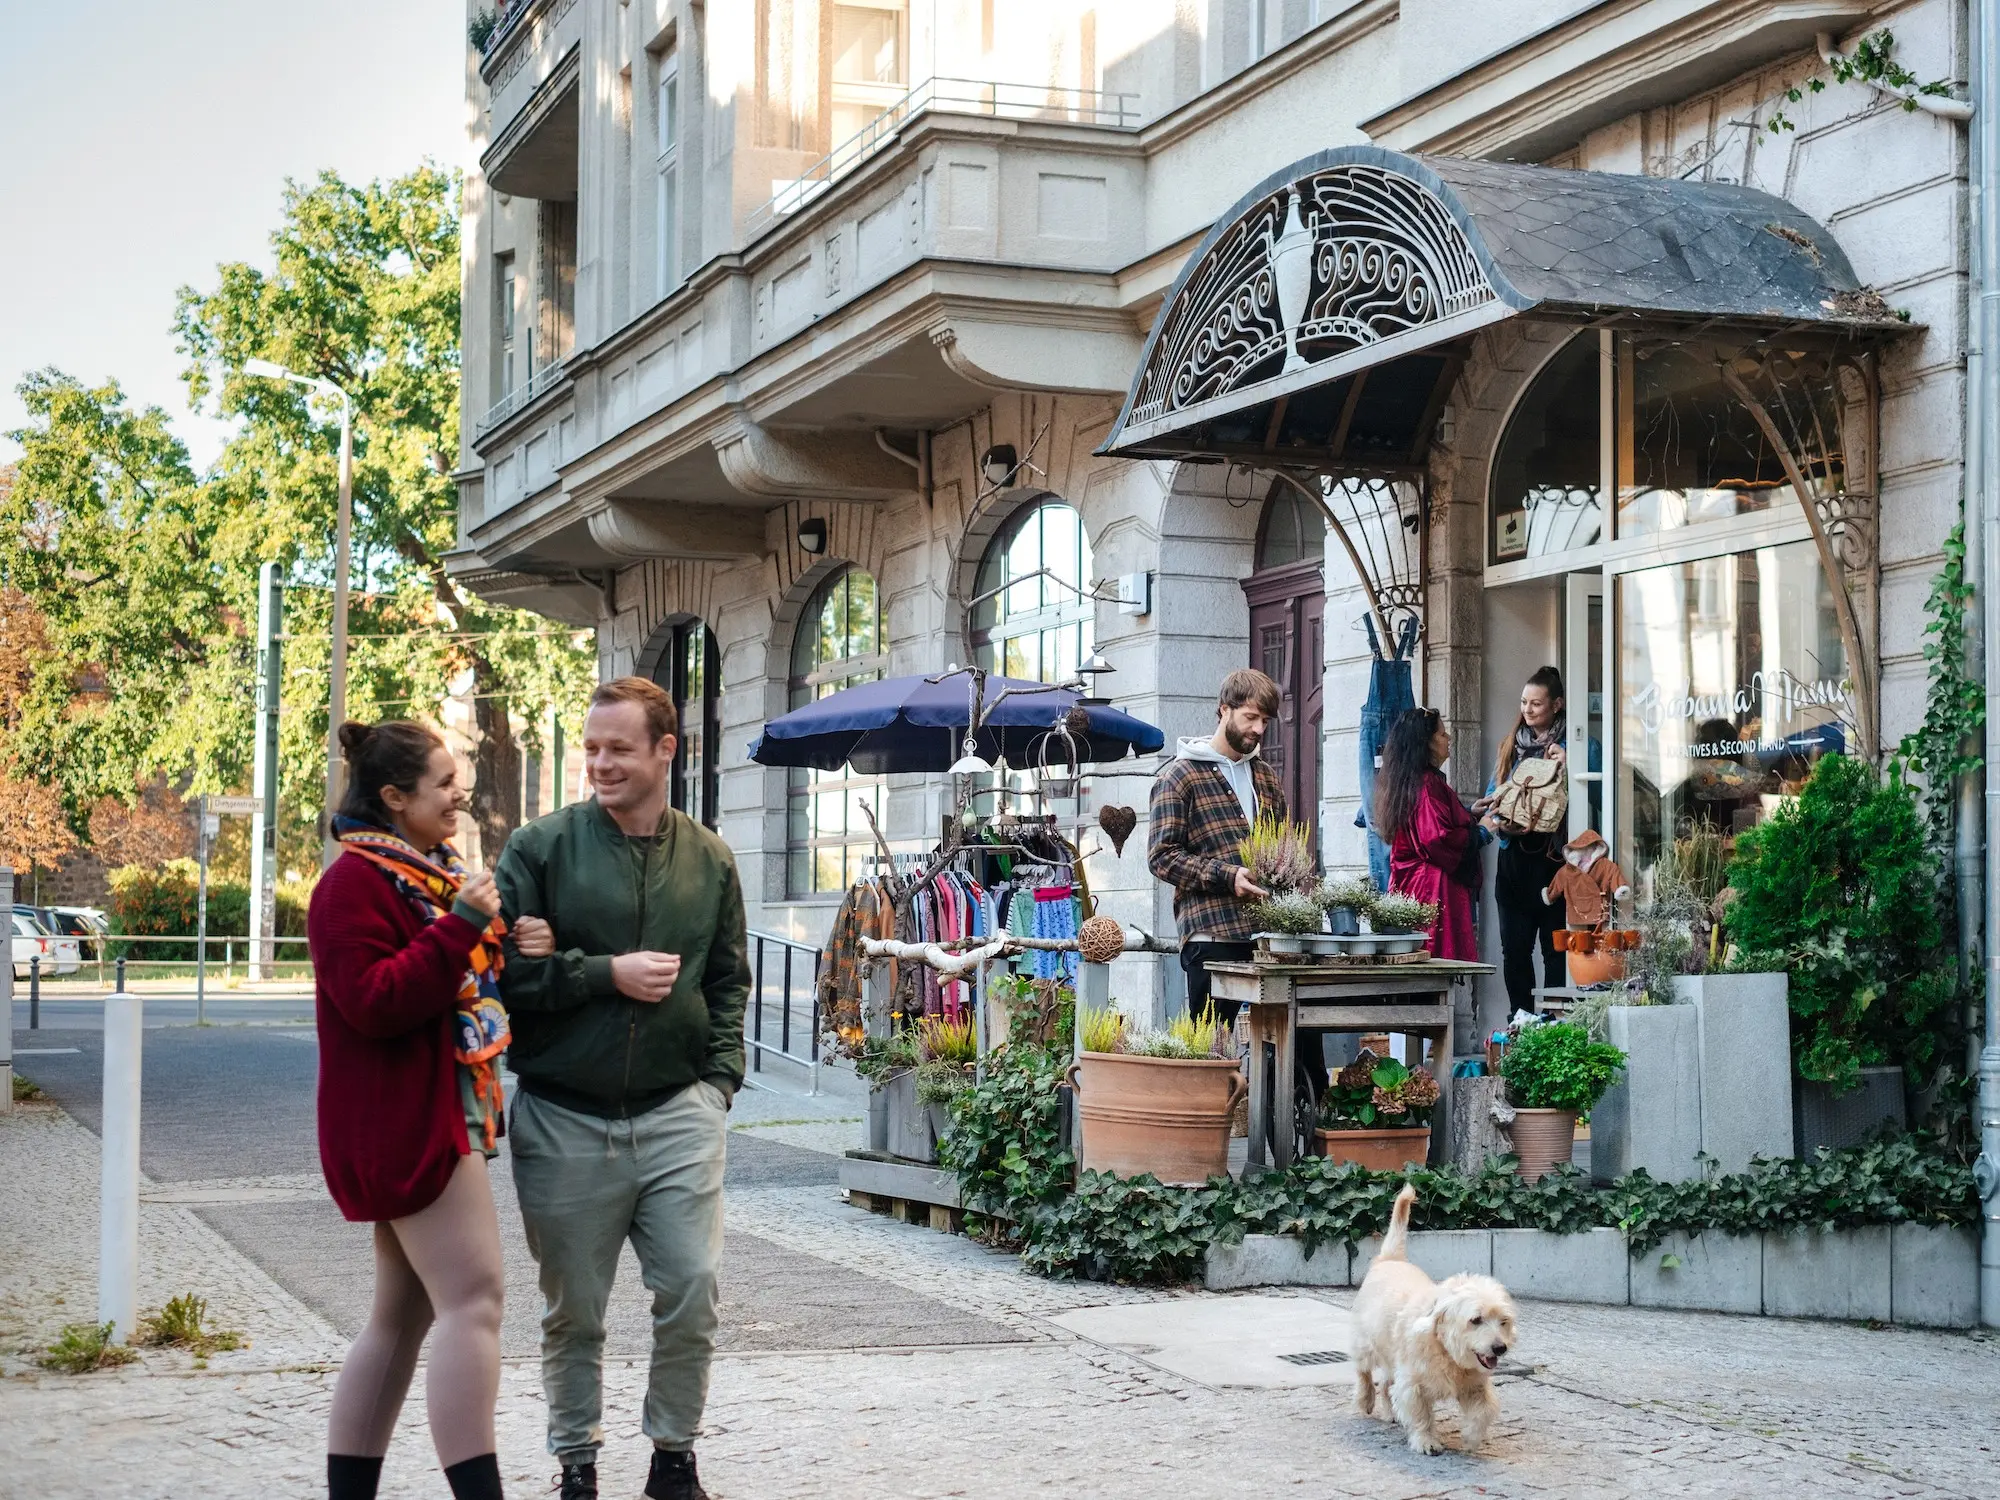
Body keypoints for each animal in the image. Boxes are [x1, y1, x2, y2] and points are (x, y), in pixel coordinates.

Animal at [1352, 1184, 1520, 1456]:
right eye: (1475, 1320)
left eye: (1503, 1321)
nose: (1500, 1348)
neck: (1445, 1351)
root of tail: (1391, 1259)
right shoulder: (1412, 1383)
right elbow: (1420, 1413)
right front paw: (1426, 1440)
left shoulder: (1475, 1386)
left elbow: (1484, 1410)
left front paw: (1471, 1437)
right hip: (1365, 1344)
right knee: (1364, 1373)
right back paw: (1365, 1399)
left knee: (1386, 1384)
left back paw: (1391, 1412)